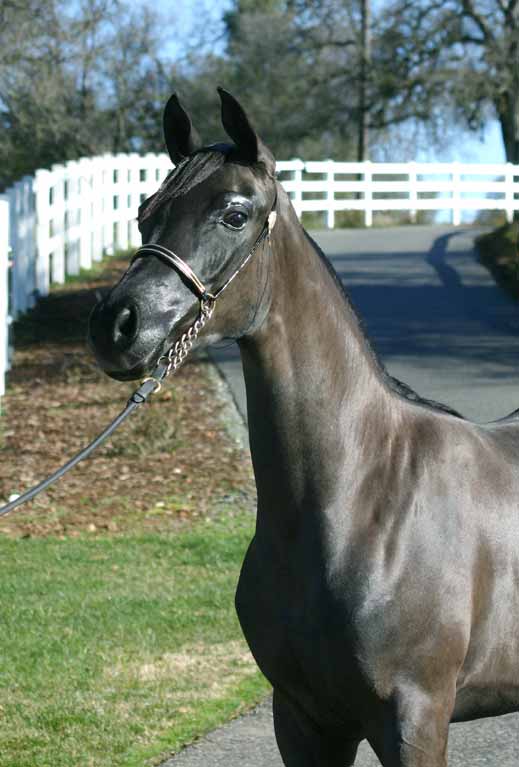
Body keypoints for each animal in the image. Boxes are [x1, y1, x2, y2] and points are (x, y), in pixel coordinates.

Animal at [88, 91, 519, 767]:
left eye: (235, 214)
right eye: (143, 212)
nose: (116, 325)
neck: (360, 500)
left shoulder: (416, 716)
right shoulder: (302, 719)